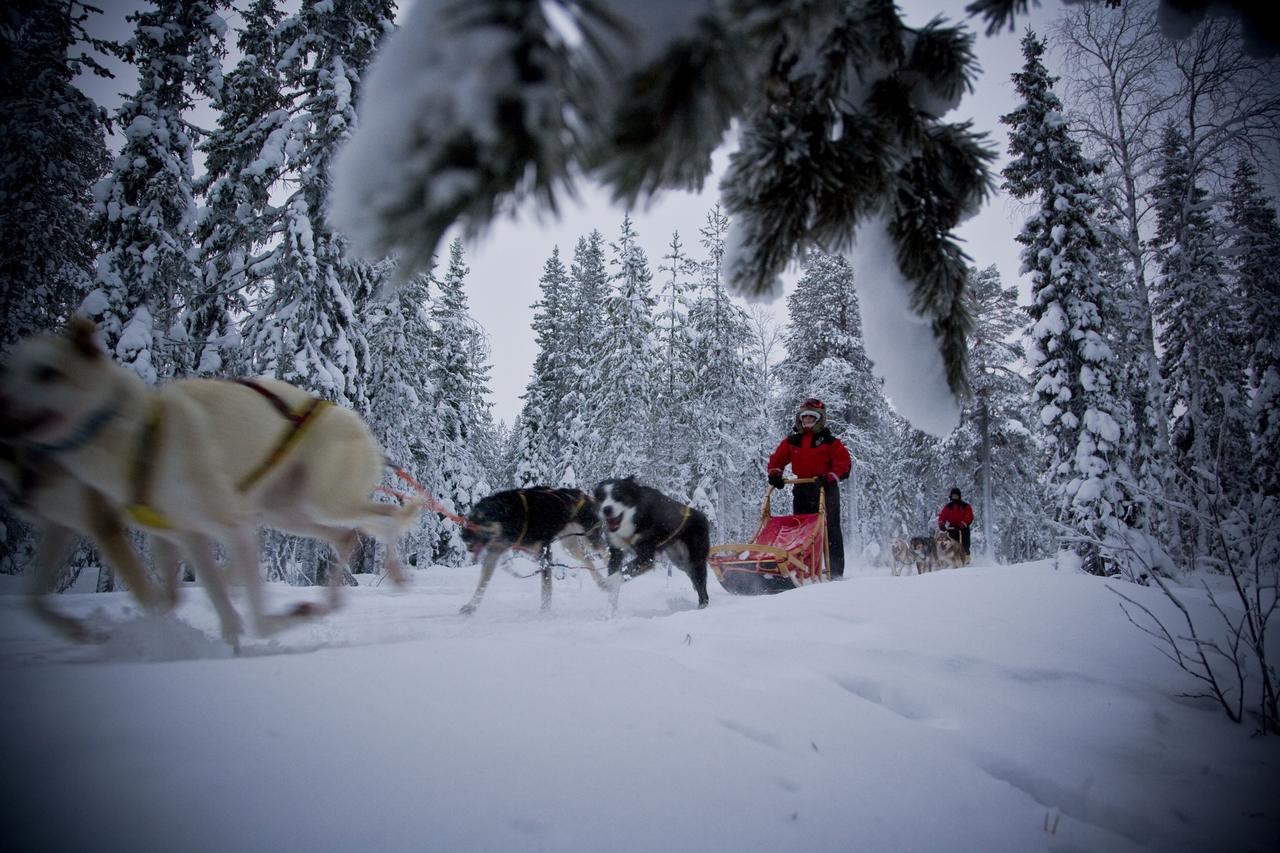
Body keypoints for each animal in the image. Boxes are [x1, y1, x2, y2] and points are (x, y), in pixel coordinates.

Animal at [0, 318, 422, 645]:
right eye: (10, 370)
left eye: (47, 372)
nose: (1, 410)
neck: (142, 436)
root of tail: (356, 420)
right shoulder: (183, 534)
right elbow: (210, 601)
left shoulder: (224, 526)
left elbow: (249, 615)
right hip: (287, 512)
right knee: (350, 534)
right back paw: (339, 595)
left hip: (322, 502)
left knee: (384, 518)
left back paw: (385, 575)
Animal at [458, 484, 606, 612]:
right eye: (469, 518)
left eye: (482, 518)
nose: (462, 535)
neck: (512, 517)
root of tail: (585, 495)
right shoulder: (494, 552)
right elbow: (482, 582)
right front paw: (471, 606)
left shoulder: (543, 555)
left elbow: (546, 589)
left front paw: (544, 612)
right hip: (569, 546)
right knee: (586, 558)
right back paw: (601, 581)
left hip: (589, 537)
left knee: (605, 551)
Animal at [591, 479, 711, 612]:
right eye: (601, 497)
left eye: (619, 495)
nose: (606, 509)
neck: (634, 518)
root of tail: (703, 517)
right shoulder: (616, 553)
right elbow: (616, 575)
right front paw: (611, 610)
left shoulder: (646, 557)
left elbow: (623, 571)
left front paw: (606, 582)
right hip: (681, 562)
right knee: (694, 579)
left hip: (695, 561)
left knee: (702, 586)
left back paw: (702, 606)